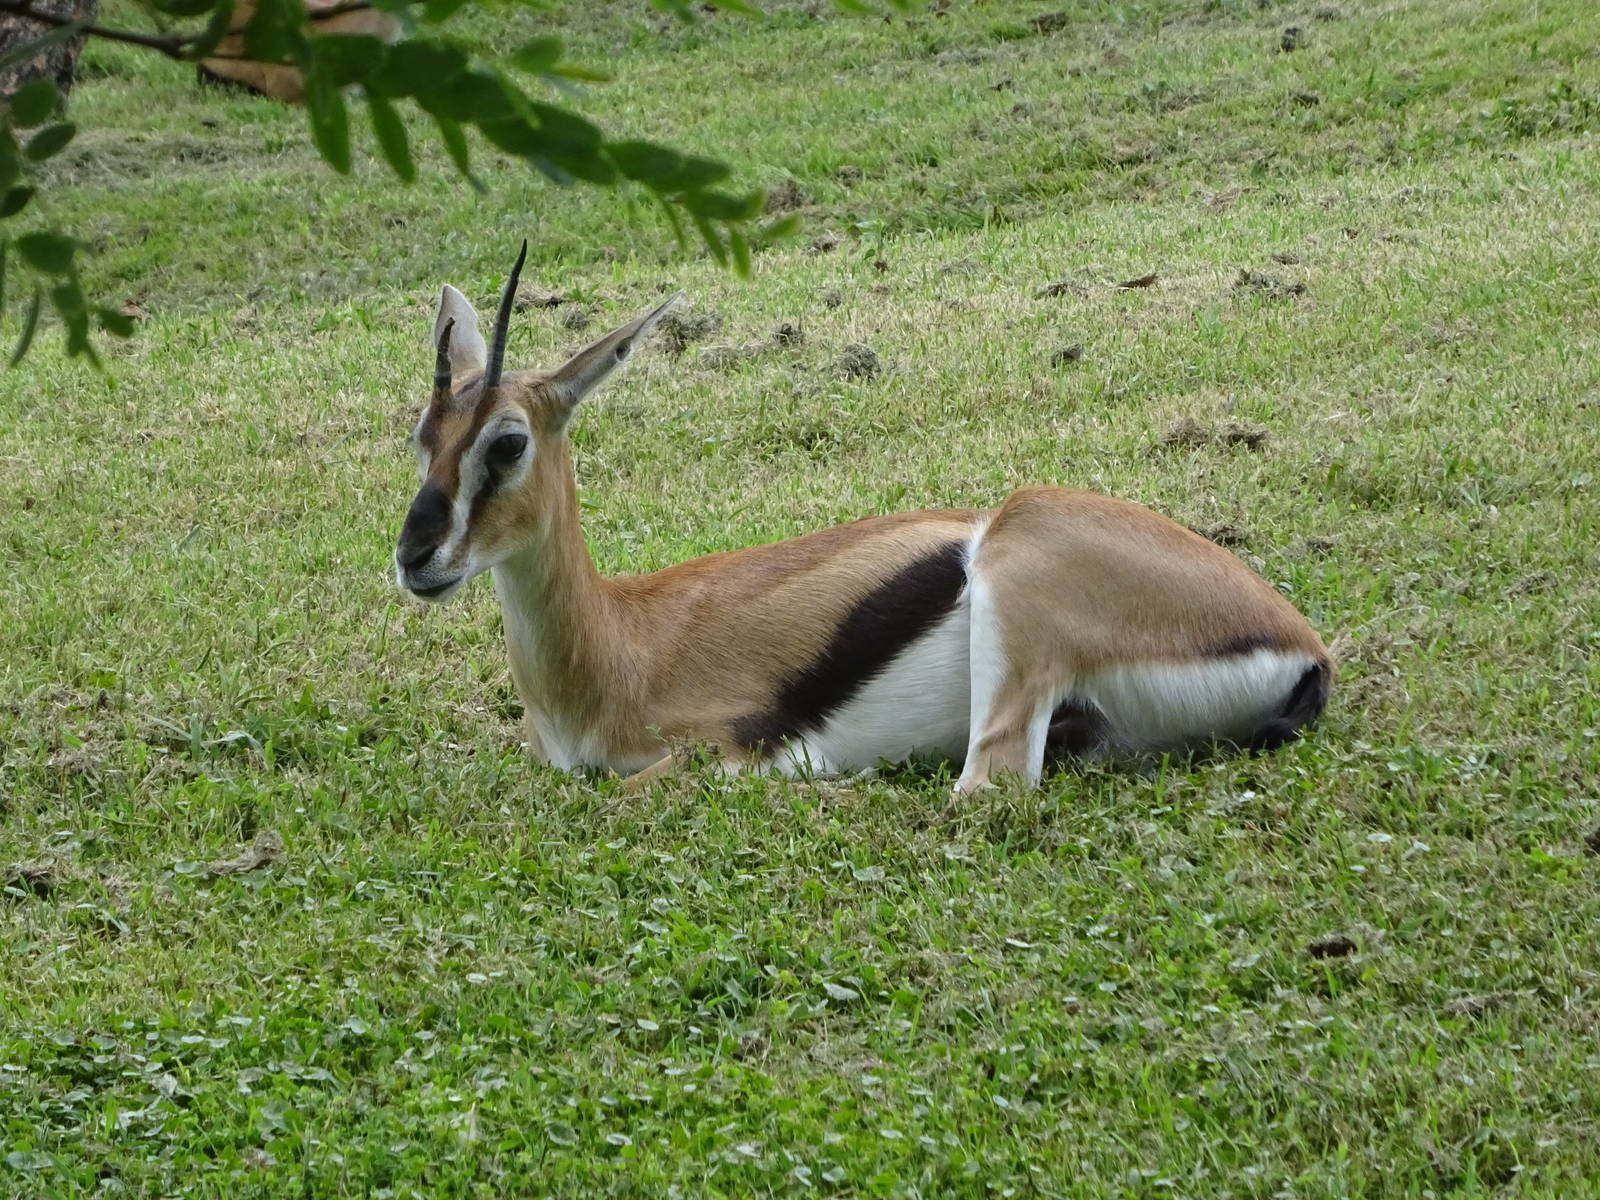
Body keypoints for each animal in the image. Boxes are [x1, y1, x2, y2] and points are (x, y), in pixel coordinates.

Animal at [395, 244, 1332, 793]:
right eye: (421, 436)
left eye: (508, 443)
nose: (415, 556)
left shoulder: (717, 754)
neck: (619, 643)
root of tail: (1304, 645)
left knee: (986, 795)